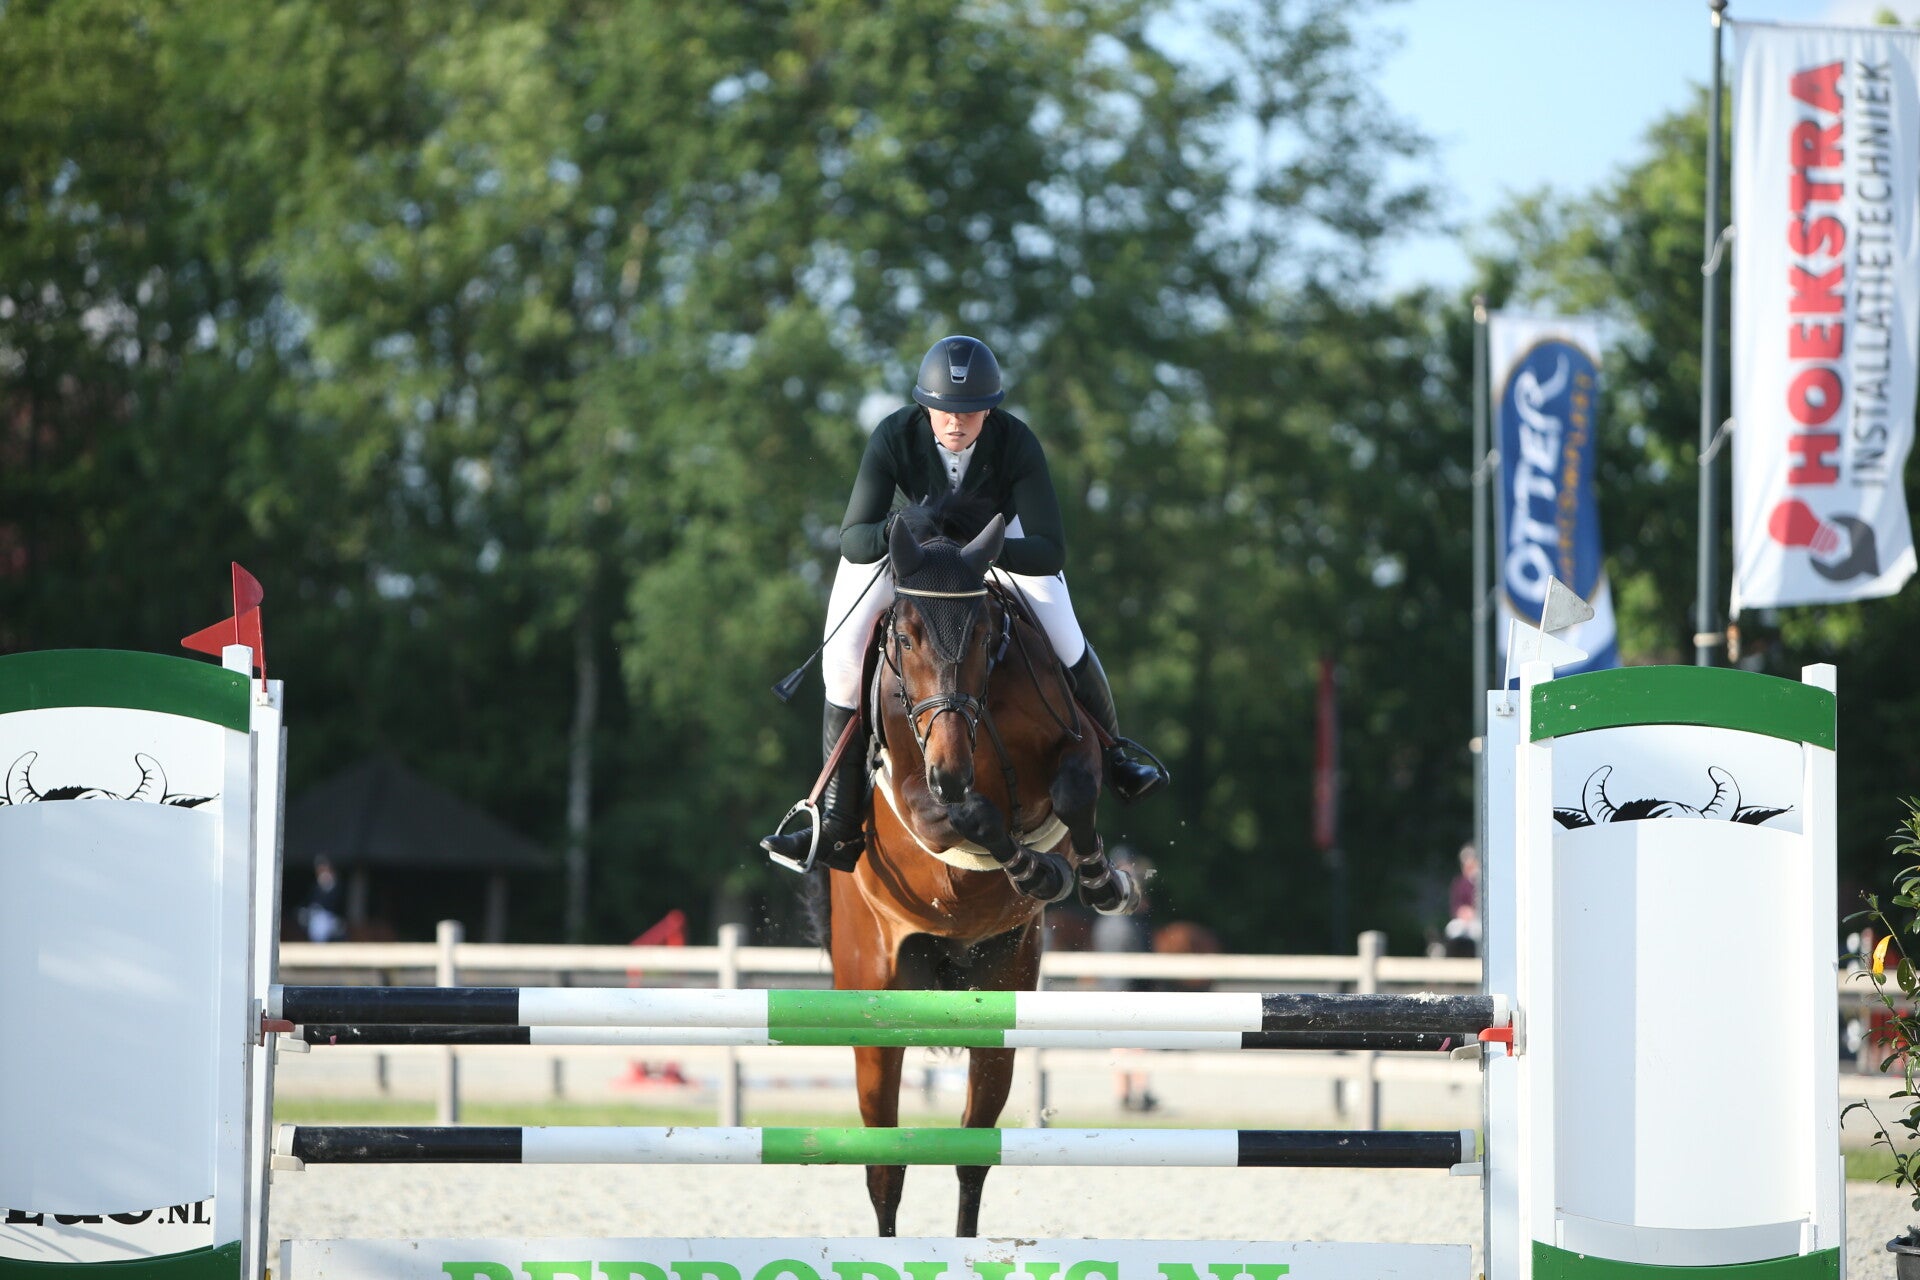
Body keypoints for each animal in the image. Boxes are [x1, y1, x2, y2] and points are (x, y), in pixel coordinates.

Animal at [813, 496, 1141, 1237]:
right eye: (904, 638)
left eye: (986, 631)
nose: (950, 770)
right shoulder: (919, 794)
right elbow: (970, 818)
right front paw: (1038, 871)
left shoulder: (1077, 740)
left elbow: (1074, 788)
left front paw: (1094, 879)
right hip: (876, 1009)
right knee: (885, 1167)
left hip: (1001, 999)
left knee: (971, 1154)